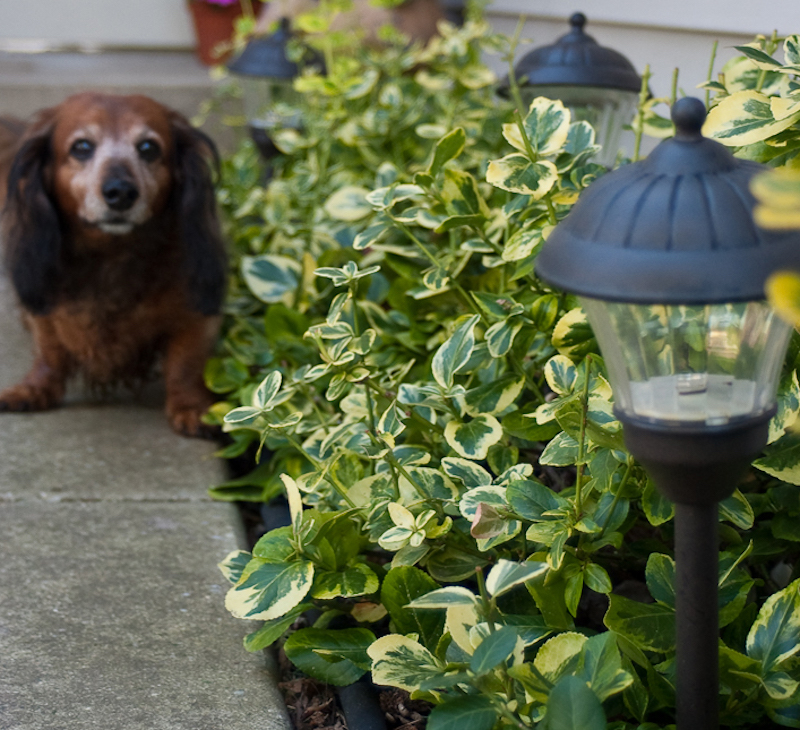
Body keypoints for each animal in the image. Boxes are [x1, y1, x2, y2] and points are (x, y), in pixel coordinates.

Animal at [0, 93, 227, 436]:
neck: (112, 256)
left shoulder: (196, 314)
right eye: (81, 146)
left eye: (149, 148)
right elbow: (49, 353)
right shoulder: (44, 308)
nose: (120, 192)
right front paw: (34, 389)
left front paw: (191, 406)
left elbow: (185, 363)